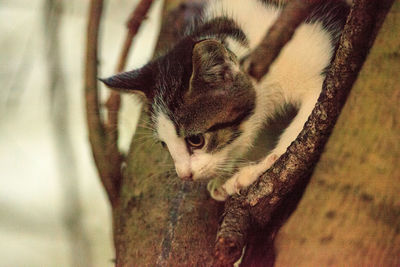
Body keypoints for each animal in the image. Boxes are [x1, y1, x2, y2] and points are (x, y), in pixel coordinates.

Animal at [101, 0, 350, 201]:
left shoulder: (317, 73)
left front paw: (254, 170)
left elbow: (305, 128)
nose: (185, 175)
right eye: (164, 144)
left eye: (196, 140)